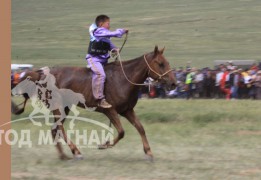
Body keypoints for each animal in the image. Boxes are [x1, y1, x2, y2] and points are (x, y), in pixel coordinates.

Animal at [12, 46, 176, 160]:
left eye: (167, 62)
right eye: (161, 63)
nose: (173, 83)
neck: (124, 78)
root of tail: (41, 74)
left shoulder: (127, 111)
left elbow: (140, 128)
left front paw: (148, 152)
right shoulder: (110, 110)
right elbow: (121, 132)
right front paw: (104, 144)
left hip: (65, 108)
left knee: (54, 130)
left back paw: (64, 156)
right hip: (59, 107)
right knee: (59, 128)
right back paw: (76, 151)